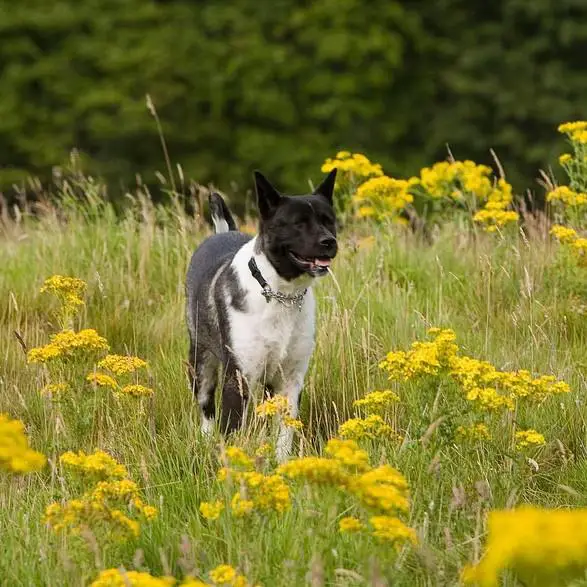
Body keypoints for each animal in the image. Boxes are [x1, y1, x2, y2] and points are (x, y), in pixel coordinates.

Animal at [184, 168, 340, 462]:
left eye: (329, 221)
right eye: (298, 223)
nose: (329, 242)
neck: (279, 292)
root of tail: (224, 232)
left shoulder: (291, 378)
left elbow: (285, 431)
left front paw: (281, 464)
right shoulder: (238, 377)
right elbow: (231, 429)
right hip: (201, 362)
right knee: (206, 407)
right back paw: (205, 440)